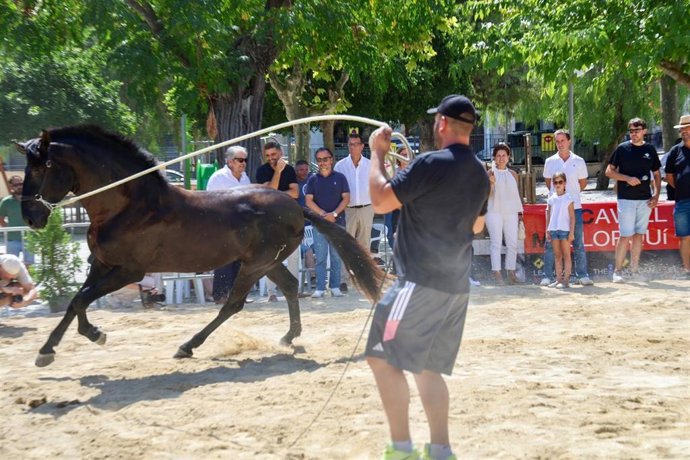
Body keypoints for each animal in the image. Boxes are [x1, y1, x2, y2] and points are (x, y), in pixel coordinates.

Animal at [16, 125, 384, 367]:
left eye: (43, 165)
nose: (31, 217)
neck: (128, 204)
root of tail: (295, 206)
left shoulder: (128, 271)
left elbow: (81, 300)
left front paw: (93, 334)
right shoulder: (102, 265)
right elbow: (75, 301)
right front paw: (49, 349)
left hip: (255, 265)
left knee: (233, 305)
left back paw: (188, 345)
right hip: (266, 262)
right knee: (291, 286)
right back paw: (289, 337)